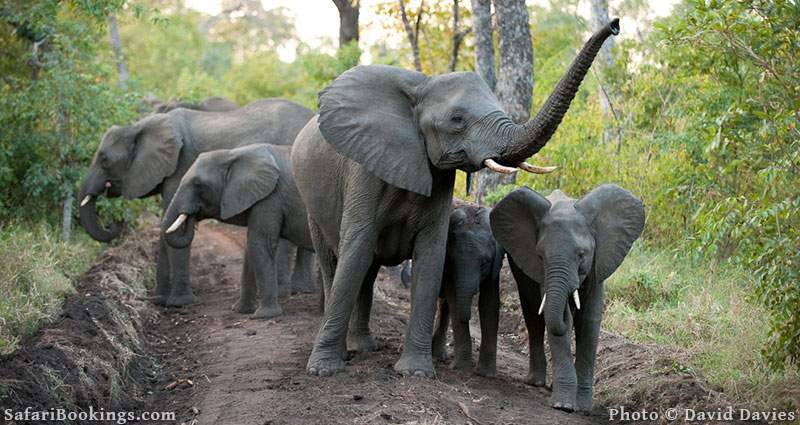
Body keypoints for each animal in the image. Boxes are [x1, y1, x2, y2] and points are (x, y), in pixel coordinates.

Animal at [161, 143, 314, 318]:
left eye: (198, 184)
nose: (192, 219)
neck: (233, 154)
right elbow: (250, 248)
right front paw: (241, 311)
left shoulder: (270, 198)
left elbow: (259, 243)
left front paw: (264, 315)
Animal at [434, 200, 504, 376]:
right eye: (453, 260)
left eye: (485, 263)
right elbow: (454, 298)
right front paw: (461, 369)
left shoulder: (495, 267)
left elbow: (489, 303)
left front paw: (485, 374)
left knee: (443, 304)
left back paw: (439, 356)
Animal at [488, 184, 644, 412]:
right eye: (541, 256)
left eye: (581, 254)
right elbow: (561, 317)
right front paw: (563, 405)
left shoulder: (598, 262)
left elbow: (589, 319)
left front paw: (584, 407)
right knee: (533, 314)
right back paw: (536, 381)